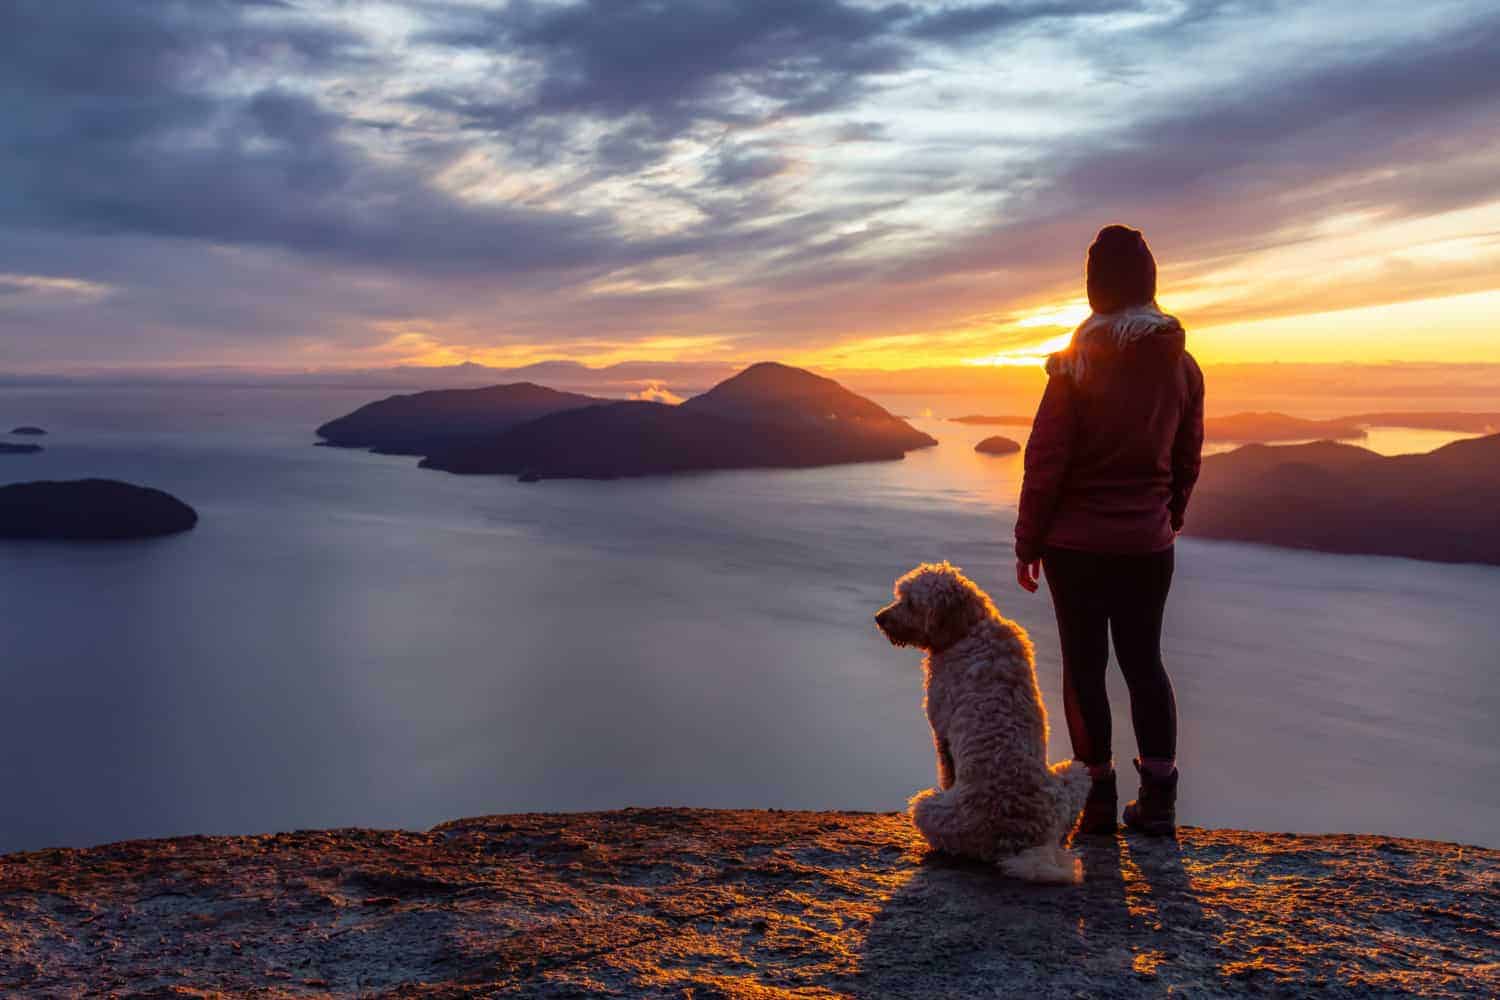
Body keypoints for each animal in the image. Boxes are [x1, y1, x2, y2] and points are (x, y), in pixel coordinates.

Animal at [876, 563, 1086, 881]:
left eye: (910, 602)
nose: (880, 618)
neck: (969, 629)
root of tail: (1023, 841)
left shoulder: (941, 730)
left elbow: (947, 772)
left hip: (925, 807)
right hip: (1075, 773)